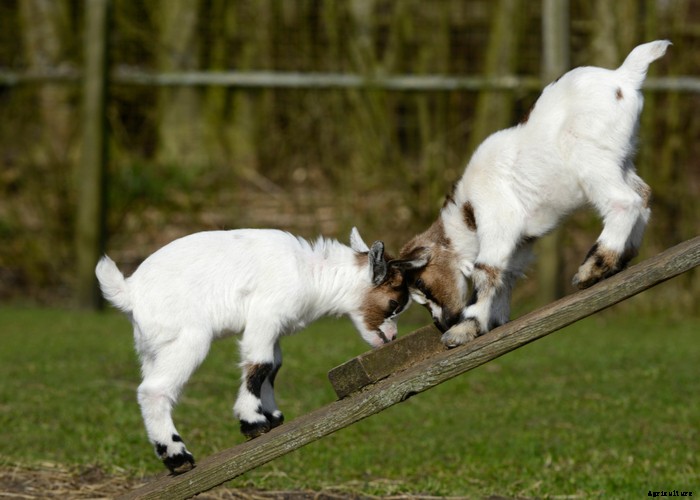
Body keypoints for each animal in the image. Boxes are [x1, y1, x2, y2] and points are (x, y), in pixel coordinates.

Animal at [95, 227, 423, 474]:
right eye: (394, 304)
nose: (392, 337)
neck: (311, 272)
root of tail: (130, 292)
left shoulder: (273, 328)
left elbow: (273, 366)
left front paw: (273, 415)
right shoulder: (265, 315)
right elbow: (260, 363)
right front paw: (253, 422)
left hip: (152, 349)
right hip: (188, 339)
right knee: (154, 390)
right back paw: (178, 456)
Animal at [399, 40, 671, 347]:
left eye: (421, 284)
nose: (440, 323)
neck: (466, 214)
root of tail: (623, 76)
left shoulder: (497, 220)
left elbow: (486, 271)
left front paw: (463, 329)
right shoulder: (521, 242)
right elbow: (507, 274)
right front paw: (493, 321)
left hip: (588, 157)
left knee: (624, 201)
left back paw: (594, 267)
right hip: (620, 160)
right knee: (643, 195)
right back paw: (622, 257)